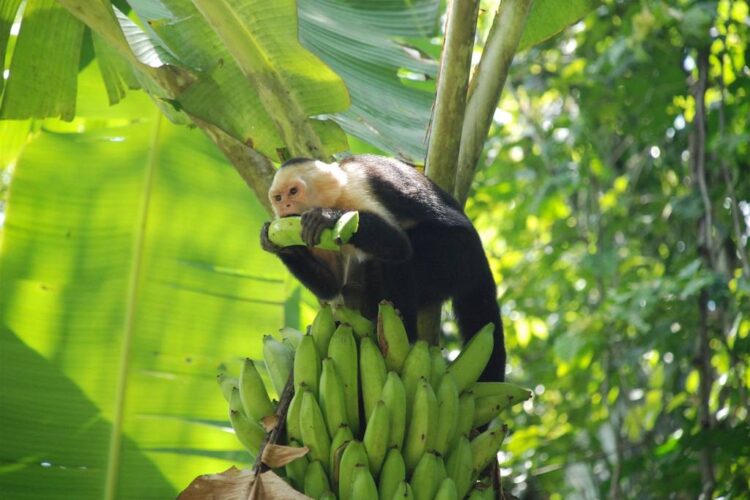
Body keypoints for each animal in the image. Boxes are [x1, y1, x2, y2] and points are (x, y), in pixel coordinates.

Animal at [258, 154, 506, 380]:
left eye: (293, 192)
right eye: (278, 197)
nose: (285, 206)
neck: (337, 195)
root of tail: (480, 263)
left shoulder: (356, 187)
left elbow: (398, 245)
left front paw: (328, 217)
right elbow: (331, 286)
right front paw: (277, 244)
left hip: (455, 254)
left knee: (398, 257)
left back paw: (404, 331)